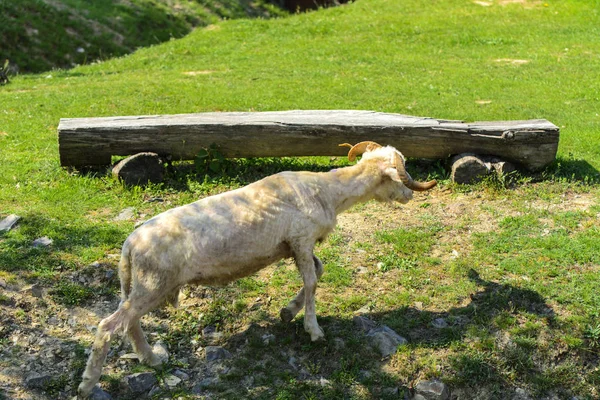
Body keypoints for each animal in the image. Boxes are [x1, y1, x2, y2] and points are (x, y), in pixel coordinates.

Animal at [78, 141, 436, 396]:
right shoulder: (301, 238)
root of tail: (129, 244)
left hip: (143, 285)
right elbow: (312, 281)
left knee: (130, 323)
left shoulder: (296, 245)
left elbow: (317, 273)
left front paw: (288, 311)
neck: (329, 191)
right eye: (401, 171)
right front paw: (313, 329)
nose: (409, 197)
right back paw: (88, 383)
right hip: (153, 283)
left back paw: (151, 359)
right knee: (109, 325)